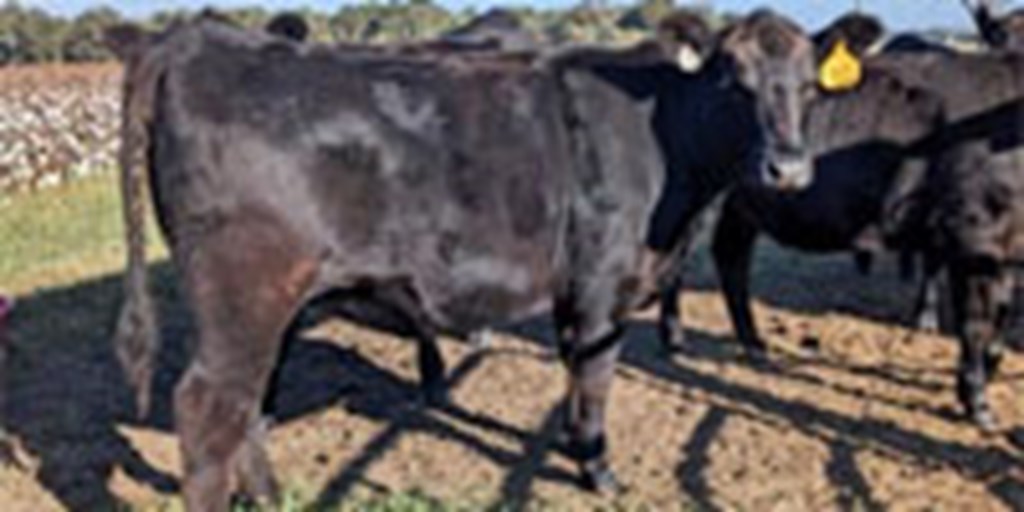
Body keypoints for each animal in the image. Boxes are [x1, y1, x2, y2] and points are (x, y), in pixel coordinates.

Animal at [108, 12, 815, 507]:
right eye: (732, 80)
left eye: (809, 87)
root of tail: (193, 39)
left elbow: (573, 375)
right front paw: (598, 470)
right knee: (209, 408)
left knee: (251, 400)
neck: (662, 136)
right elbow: (594, 380)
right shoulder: (600, 288)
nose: (789, 168)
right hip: (244, 293)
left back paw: (271, 495)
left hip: (271, 304)